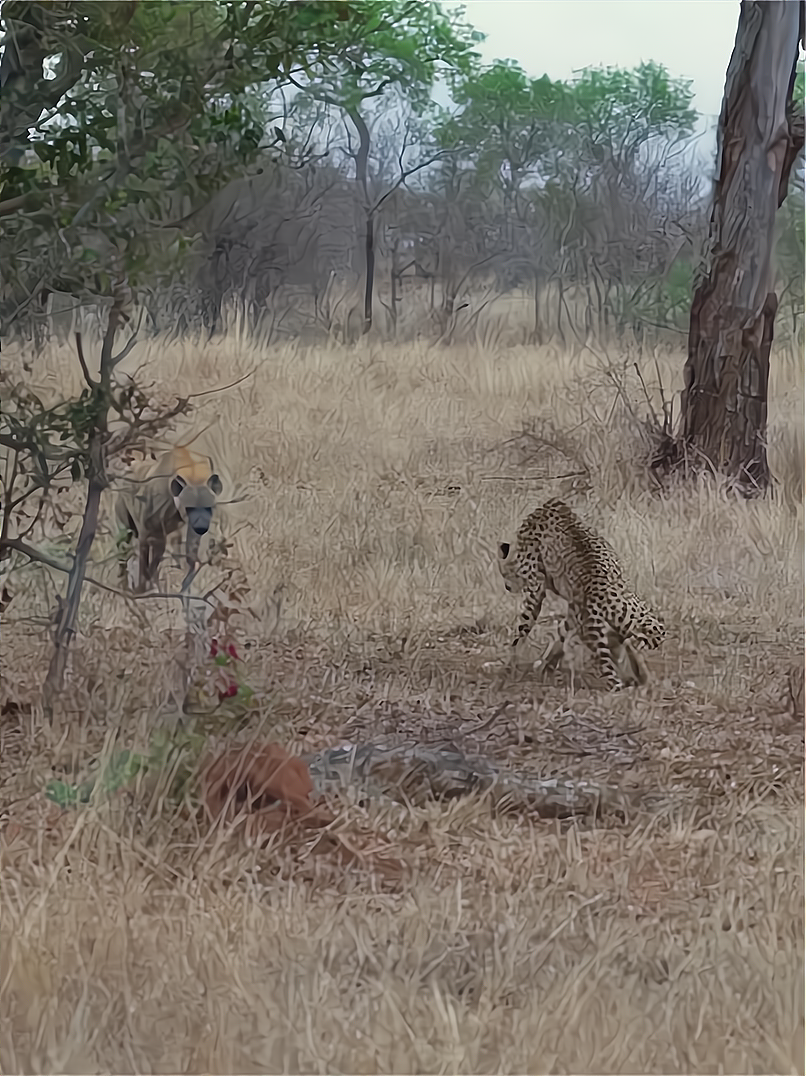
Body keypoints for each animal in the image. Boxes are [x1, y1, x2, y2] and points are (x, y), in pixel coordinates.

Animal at [497, 497, 667, 688]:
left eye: (503, 573)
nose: (507, 587)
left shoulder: (537, 590)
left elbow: (524, 630)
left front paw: (514, 665)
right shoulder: (574, 615)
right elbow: (559, 635)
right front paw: (544, 666)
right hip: (628, 619)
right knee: (644, 636)